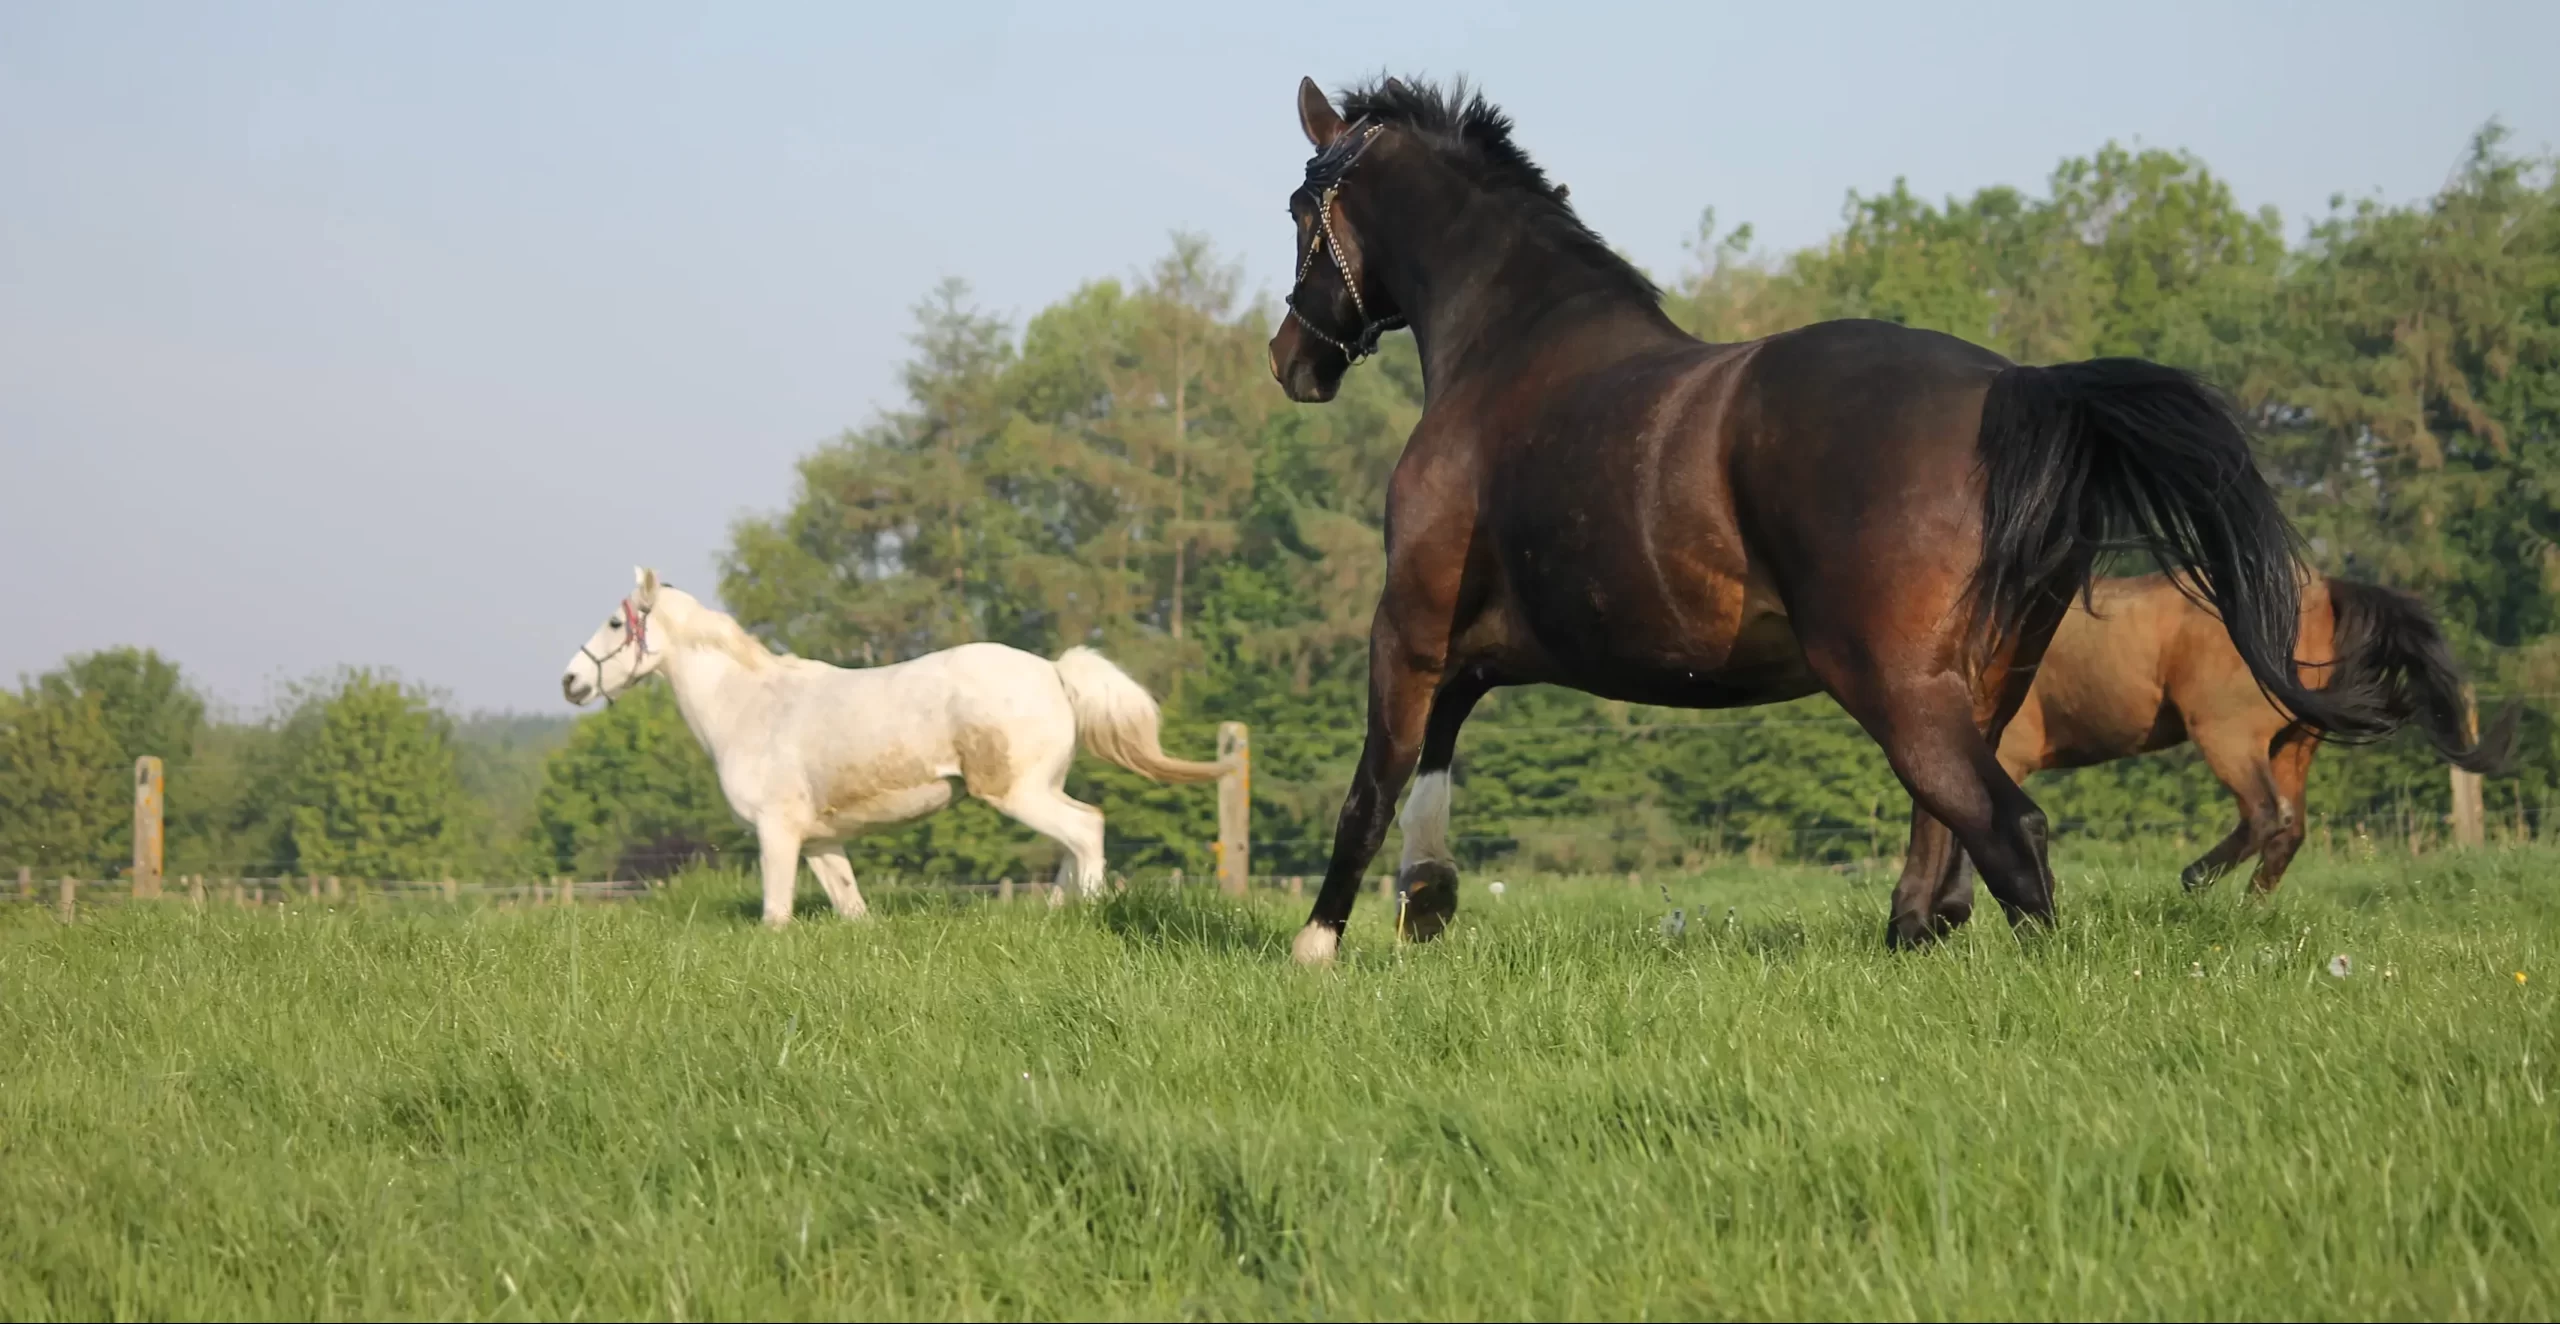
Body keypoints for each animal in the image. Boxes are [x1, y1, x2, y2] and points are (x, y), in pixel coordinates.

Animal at [565, 563, 1223, 921]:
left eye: (617, 623)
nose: (571, 681)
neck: (749, 707)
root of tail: (1054, 671)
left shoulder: (777, 833)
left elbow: (776, 915)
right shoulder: (820, 842)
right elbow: (852, 907)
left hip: (1019, 792)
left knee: (1087, 829)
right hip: (1040, 789)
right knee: (1073, 843)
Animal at [1269, 74, 2385, 957]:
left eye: (1298, 205)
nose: (1290, 360)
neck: (1511, 350)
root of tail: (2018, 388)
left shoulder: (1408, 627)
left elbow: (1377, 778)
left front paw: (1322, 939)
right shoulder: (1482, 643)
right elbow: (1439, 747)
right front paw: (1426, 895)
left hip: (1891, 680)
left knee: (2010, 834)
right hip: (1979, 682)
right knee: (1946, 838)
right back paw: (1911, 935)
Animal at [1986, 573, 2508, 891]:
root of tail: (2321, 590)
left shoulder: (2006, 759)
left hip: (2227, 735)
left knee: (2266, 813)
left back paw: (2195, 878)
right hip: (2293, 742)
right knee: (2288, 830)